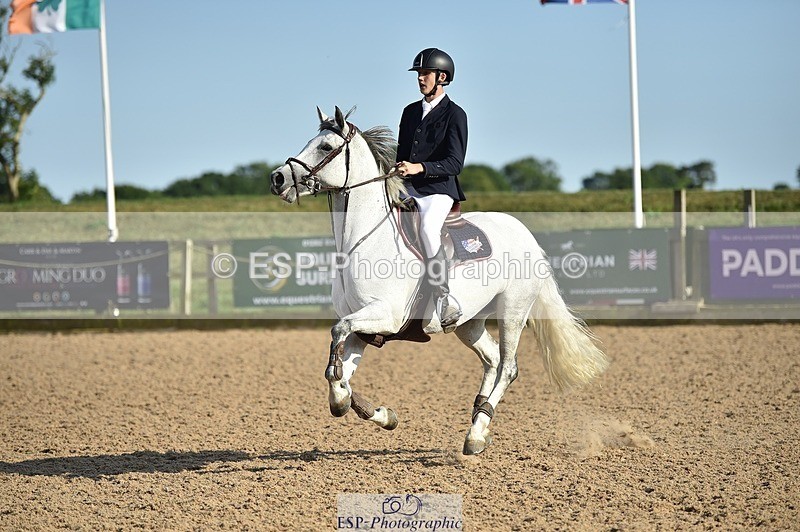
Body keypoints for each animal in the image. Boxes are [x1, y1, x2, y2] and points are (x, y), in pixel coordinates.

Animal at [269, 106, 609, 455]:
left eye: (325, 147)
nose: (278, 178)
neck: (363, 241)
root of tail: (525, 233)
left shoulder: (385, 316)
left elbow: (336, 338)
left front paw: (348, 399)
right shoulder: (363, 327)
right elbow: (342, 373)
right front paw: (376, 412)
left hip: (513, 312)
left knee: (508, 367)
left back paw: (476, 433)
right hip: (468, 323)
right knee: (491, 359)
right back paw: (479, 421)